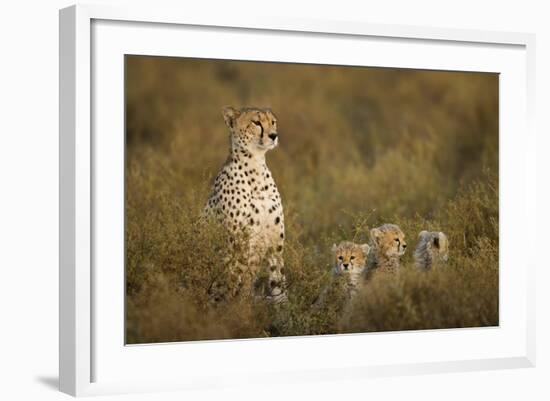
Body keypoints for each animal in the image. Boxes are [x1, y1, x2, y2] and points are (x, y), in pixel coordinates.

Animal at [205, 106, 286, 304]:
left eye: (273, 121)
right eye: (256, 122)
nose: (274, 135)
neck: (256, 166)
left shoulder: (276, 243)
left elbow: (279, 282)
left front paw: (286, 308)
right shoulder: (236, 242)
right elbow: (234, 278)